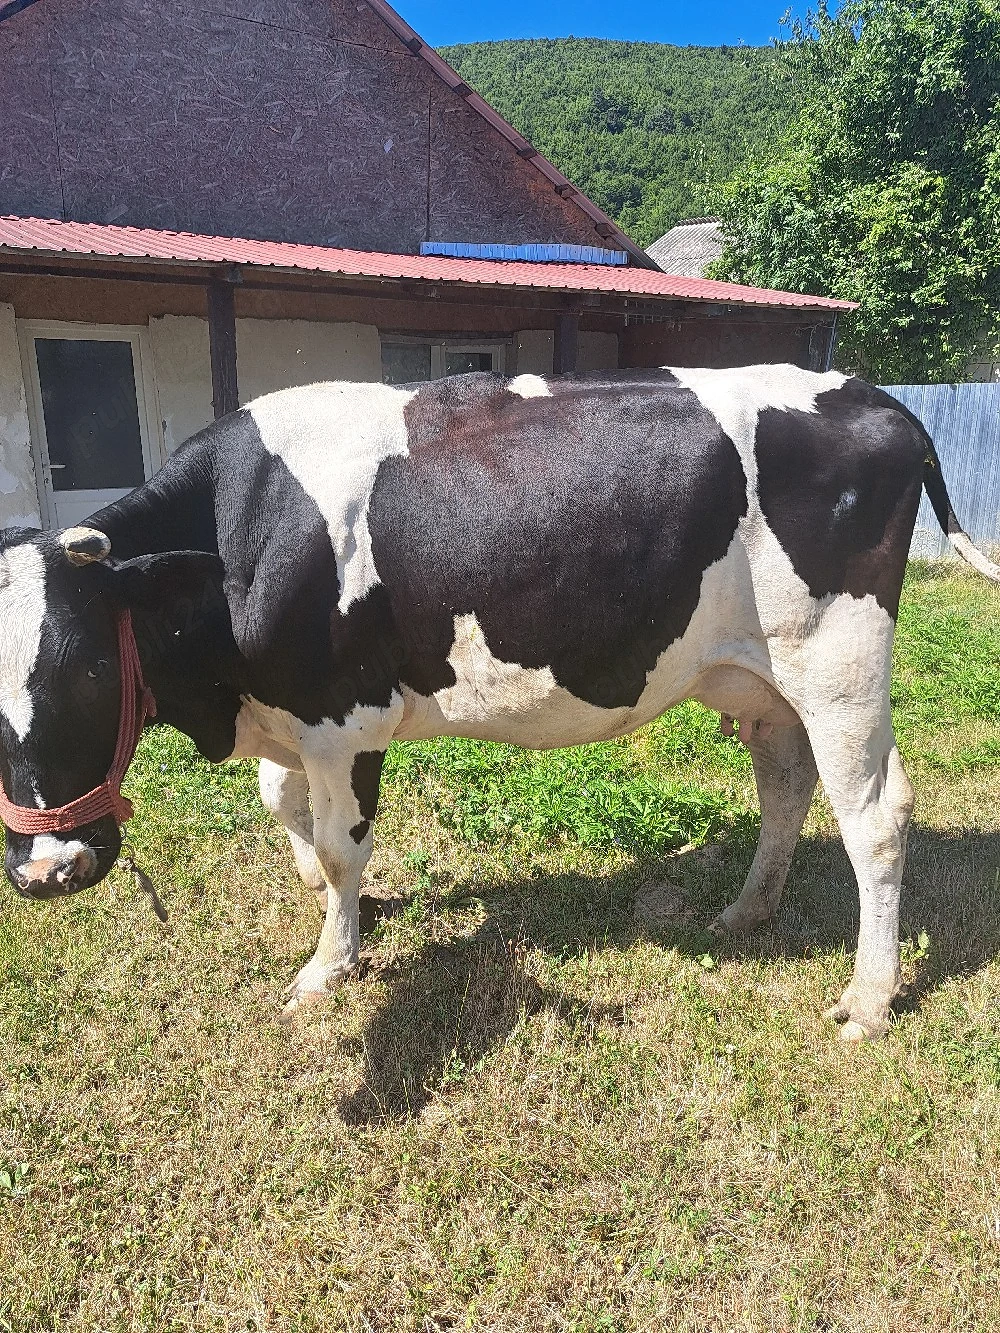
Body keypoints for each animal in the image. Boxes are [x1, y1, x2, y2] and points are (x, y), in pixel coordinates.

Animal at [1, 365, 996, 1040]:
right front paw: (346, 904)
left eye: (88, 669)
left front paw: (330, 960)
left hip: (840, 664)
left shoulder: (346, 715)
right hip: (762, 676)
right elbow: (287, 808)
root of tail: (873, 394)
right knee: (786, 785)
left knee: (876, 817)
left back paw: (869, 996)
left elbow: (337, 840)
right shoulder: (297, 716)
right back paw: (749, 910)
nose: (47, 870)